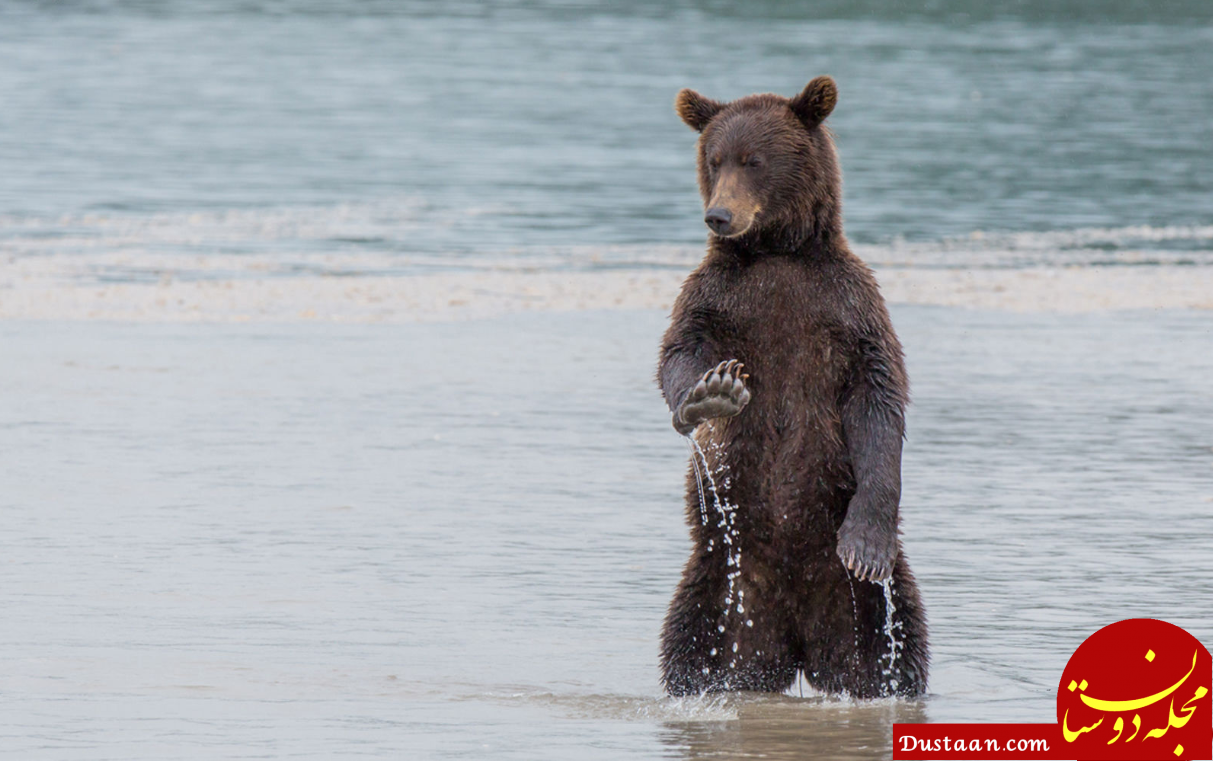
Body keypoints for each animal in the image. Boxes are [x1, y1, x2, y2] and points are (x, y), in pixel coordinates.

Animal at [655, 75, 926, 699]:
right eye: (714, 158)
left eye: (754, 160)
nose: (719, 215)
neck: (777, 251)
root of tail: (798, 646)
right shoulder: (718, 298)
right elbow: (678, 353)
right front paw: (710, 394)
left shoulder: (846, 307)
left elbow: (879, 400)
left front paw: (865, 545)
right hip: (718, 585)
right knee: (689, 647)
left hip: (866, 609)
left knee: (899, 650)